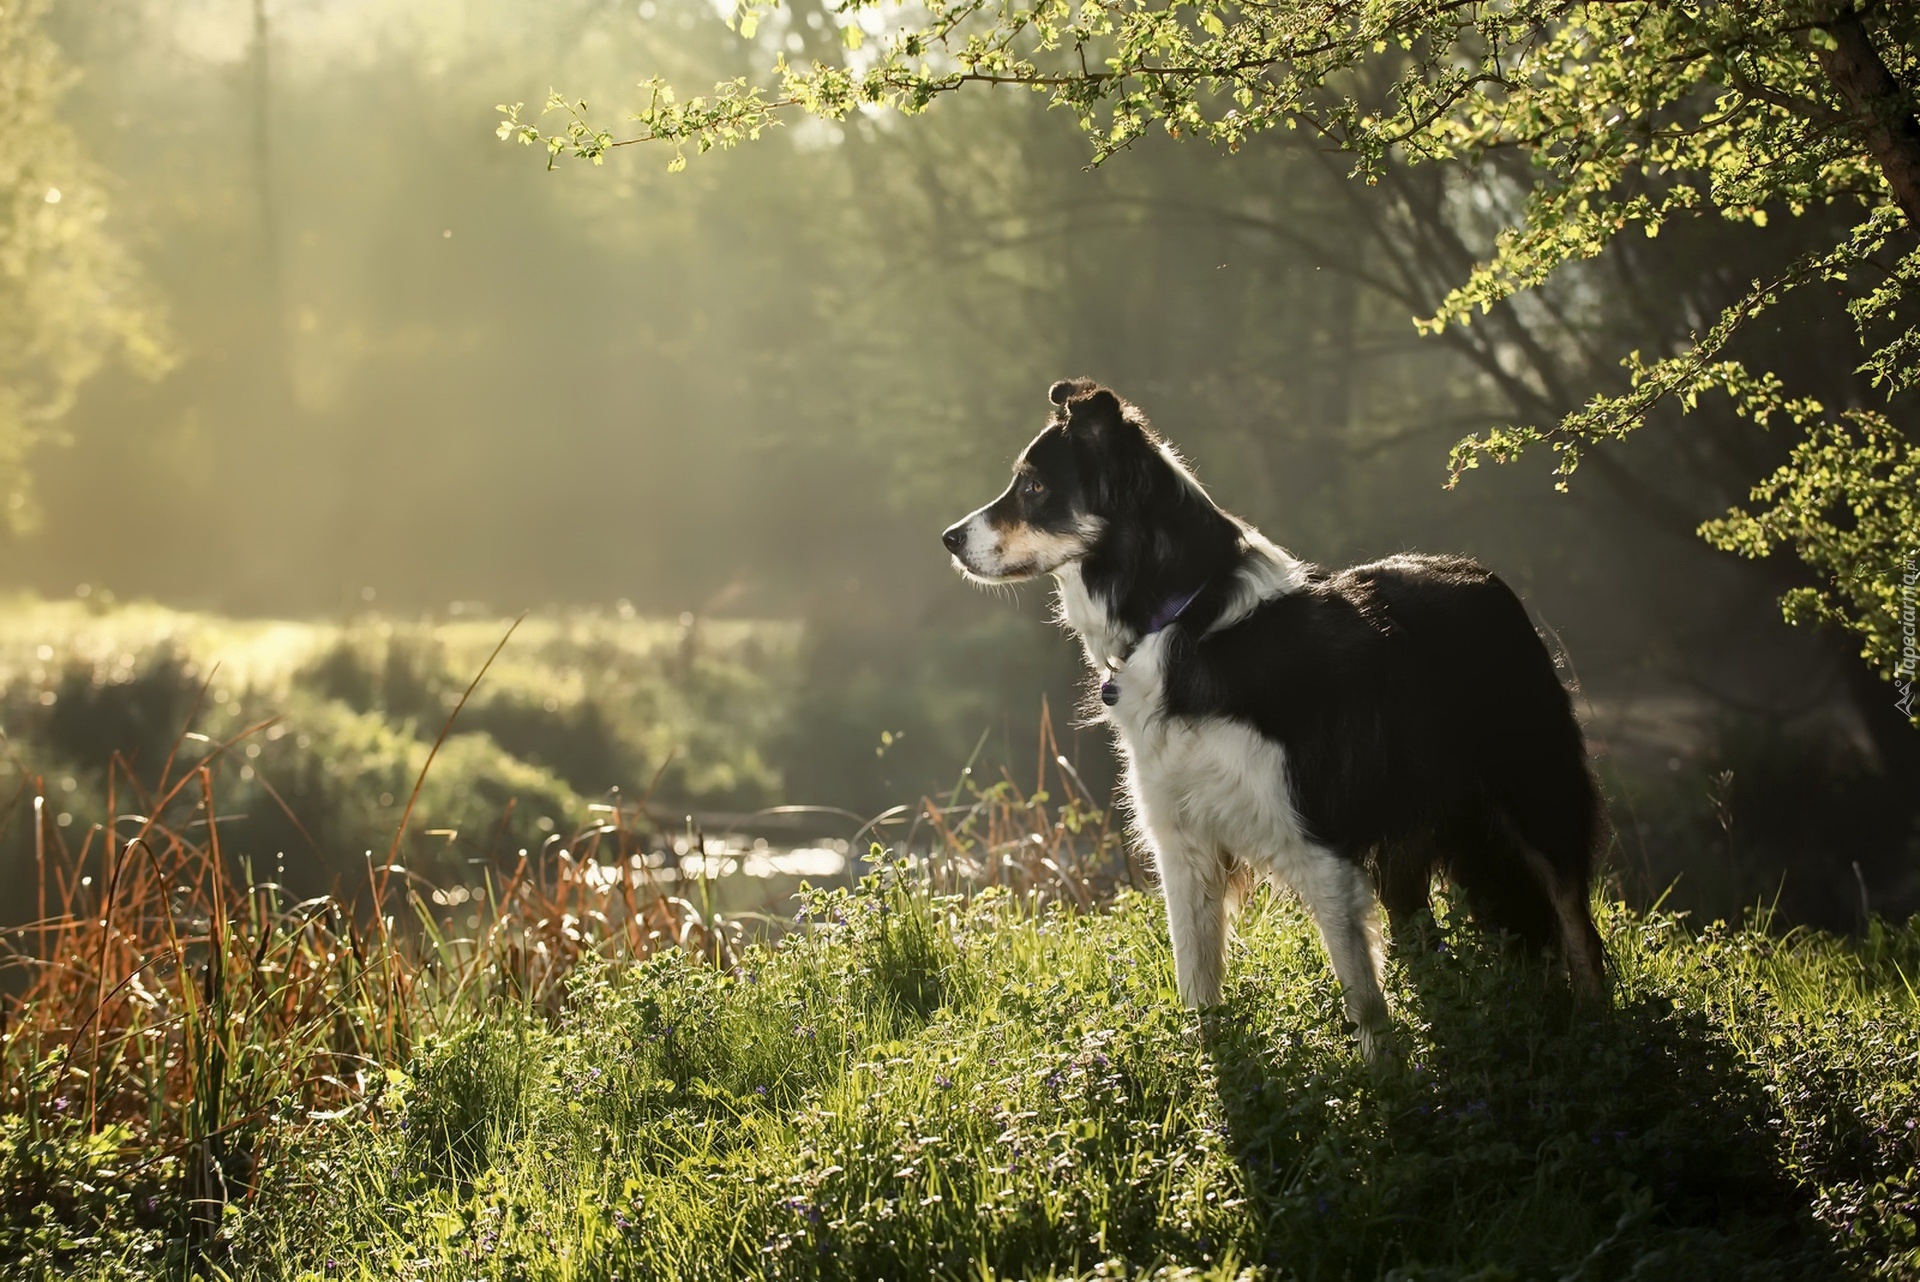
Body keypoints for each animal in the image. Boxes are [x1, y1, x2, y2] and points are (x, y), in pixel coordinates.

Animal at [944, 379, 1605, 1059]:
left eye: (1033, 488)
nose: (949, 539)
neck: (1187, 617)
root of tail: (1486, 576)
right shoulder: (1182, 845)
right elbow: (1197, 984)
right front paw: (1209, 1068)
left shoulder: (1320, 844)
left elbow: (1363, 1000)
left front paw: (1384, 1076)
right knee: (1423, 935)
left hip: (1538, 795)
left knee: (1577, 926)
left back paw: (1597, 1027)